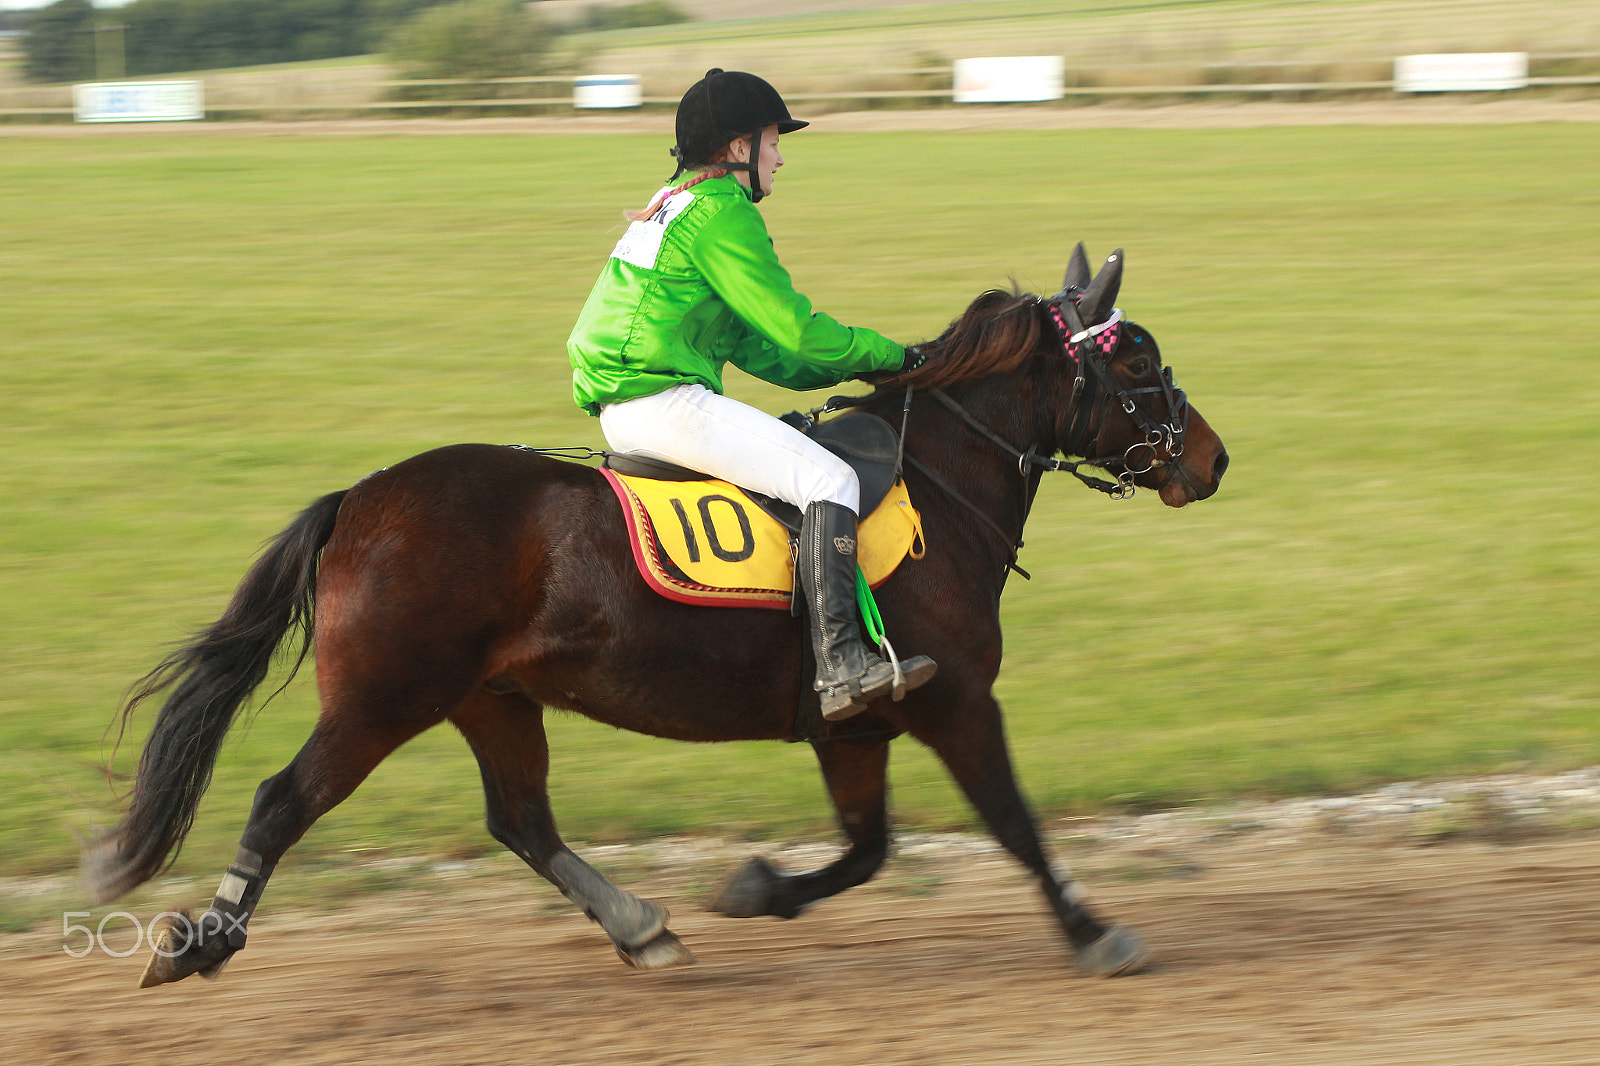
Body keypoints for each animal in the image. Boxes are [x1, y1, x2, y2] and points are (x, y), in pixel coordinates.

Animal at [87, 244, 1227, 987]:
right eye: (1134, 361)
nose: (1213, 458)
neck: (936, 485)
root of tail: (361, 500)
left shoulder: (852, 725)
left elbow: (868, 849)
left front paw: (758, 888)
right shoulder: (957, 705)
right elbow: (1014, 824)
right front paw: (1094, 931)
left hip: (493, 699)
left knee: (523, 820)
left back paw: (640, 925)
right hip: (381, 701)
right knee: (282, 800)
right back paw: (203, 940)